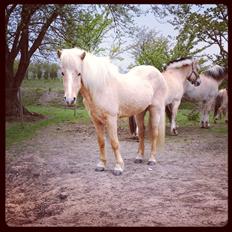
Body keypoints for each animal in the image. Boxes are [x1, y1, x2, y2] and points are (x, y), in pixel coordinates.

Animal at [57, 48, 167, 176]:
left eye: (79, 73)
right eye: (62, 73)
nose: (70, 100)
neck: (100, 88)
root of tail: (157, 72)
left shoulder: (111, 119)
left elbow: (114, 143)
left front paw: (118, 167)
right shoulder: (96, 120)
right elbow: (101, 142)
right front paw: (101, 165)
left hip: (155, 109)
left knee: (154, 133)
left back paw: (152, 160)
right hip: (140, 112)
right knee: (141, 133)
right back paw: (139, 157)